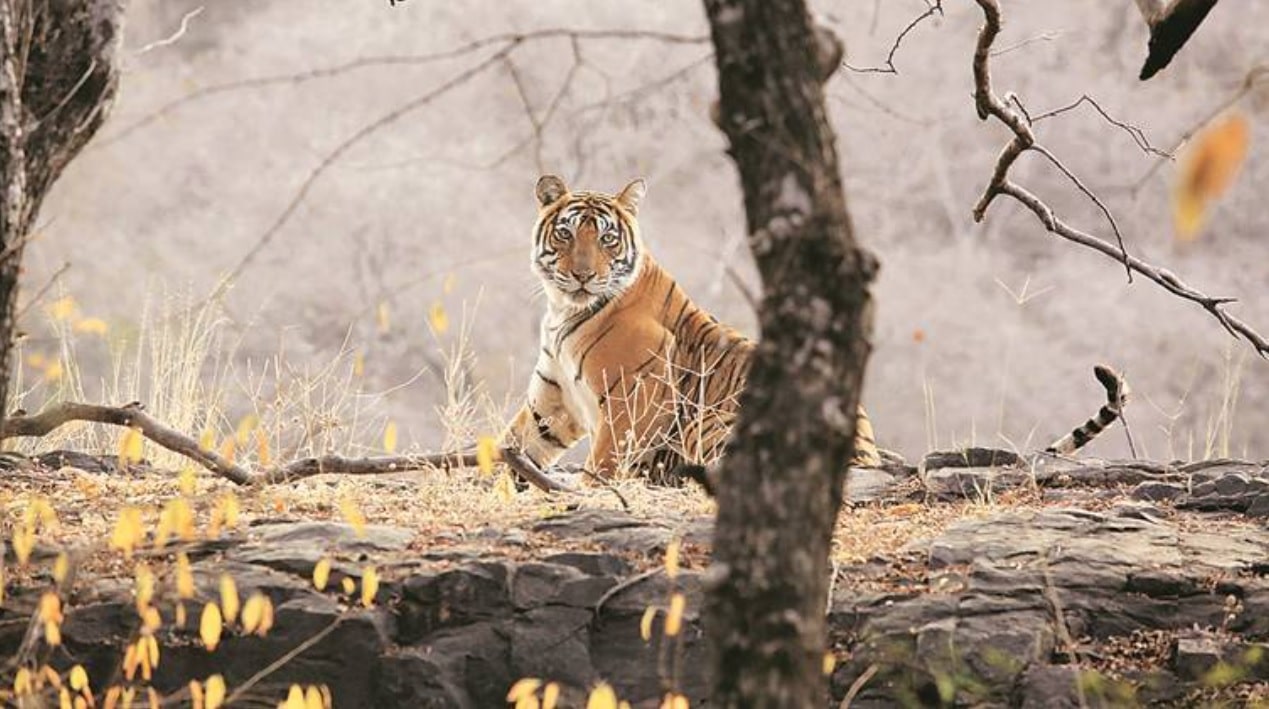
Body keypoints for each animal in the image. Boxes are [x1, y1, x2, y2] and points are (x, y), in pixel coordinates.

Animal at [498, 174, 882, 484]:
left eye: (607, 239)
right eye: (566, 233)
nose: (583, 275)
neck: (563, 310)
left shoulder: (637, 397)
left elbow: (604, 461)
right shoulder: (555, 399)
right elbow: (515, 442)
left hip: (711, 421)